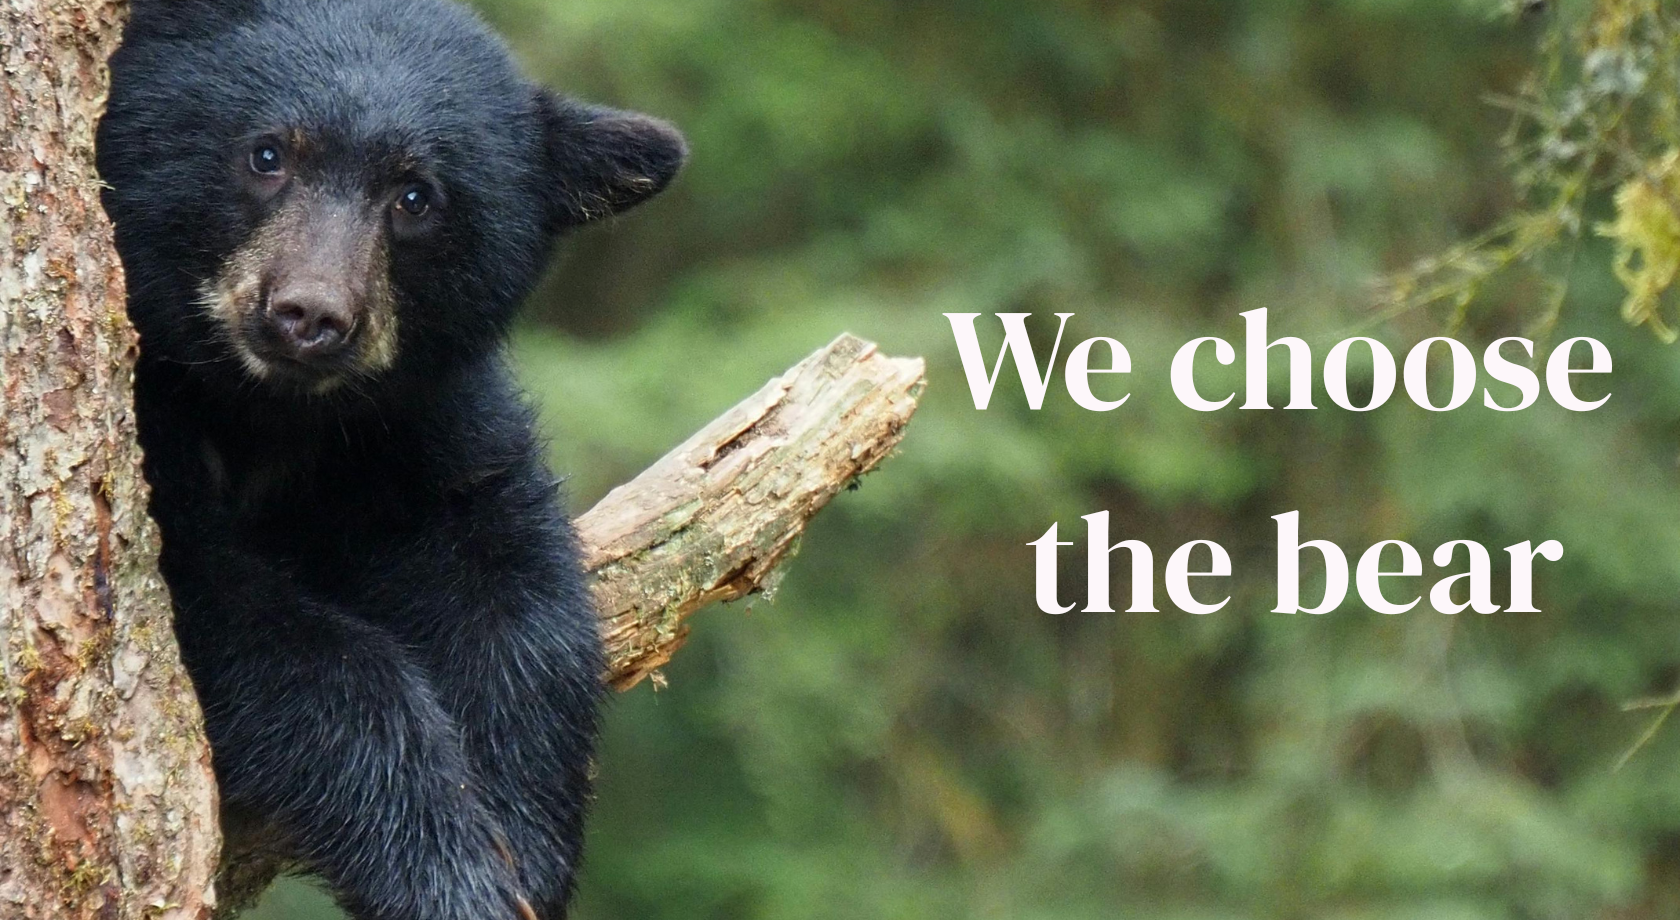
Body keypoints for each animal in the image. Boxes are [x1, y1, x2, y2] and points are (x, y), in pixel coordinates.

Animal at [95, 1, 685, 918]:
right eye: (268, 153)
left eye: (416, 196)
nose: (308, 316)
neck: (268, 412)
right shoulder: (152, 421)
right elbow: (261, 628)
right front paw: (444, 872)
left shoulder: (415, 421)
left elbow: (509, 581)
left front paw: (528, 840)